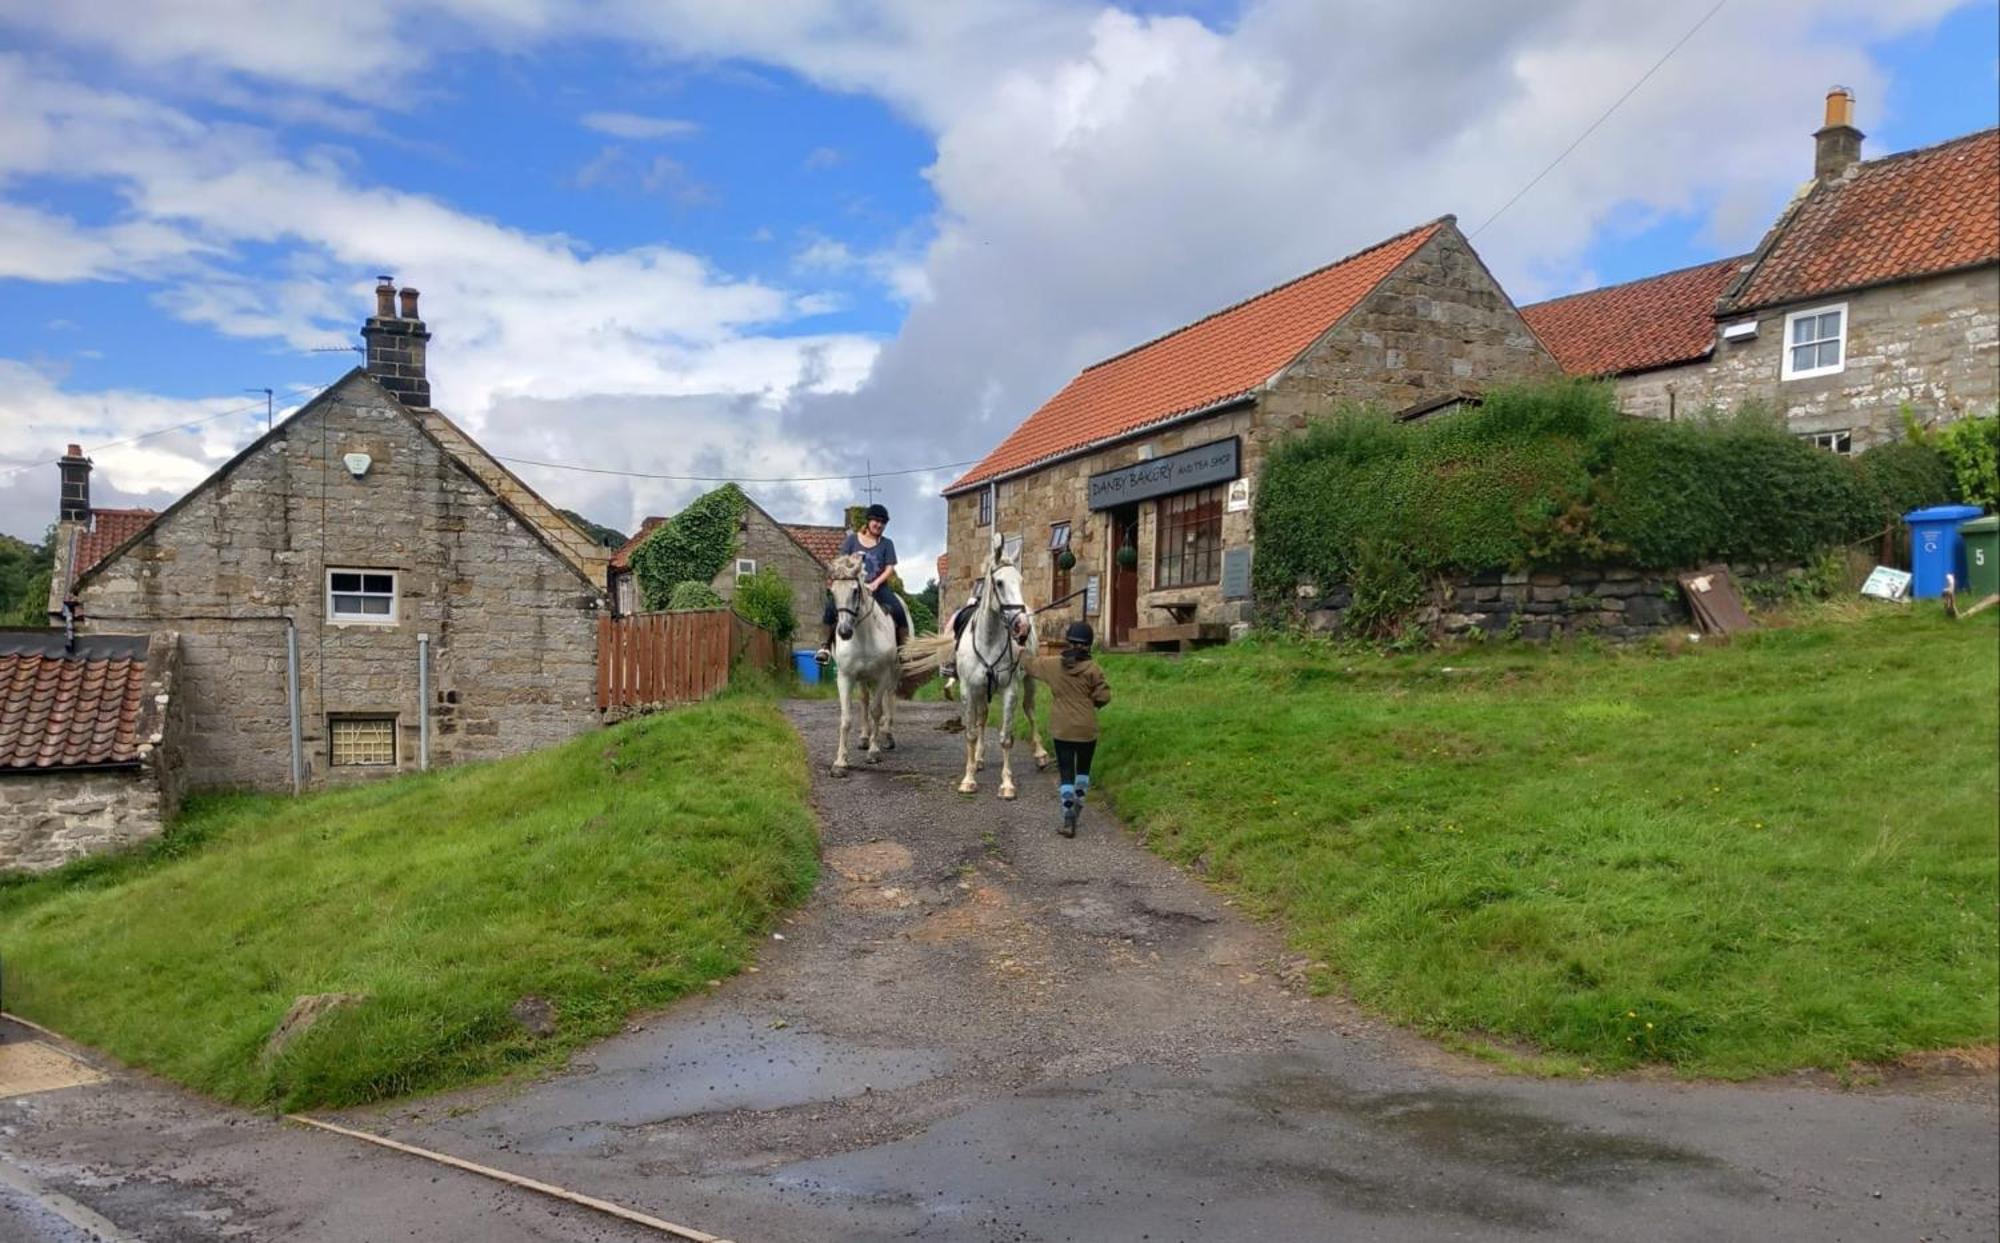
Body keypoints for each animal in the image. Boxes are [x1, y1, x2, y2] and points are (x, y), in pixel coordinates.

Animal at [828, 559, 900, 779]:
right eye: (832, 592)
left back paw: (887, 736)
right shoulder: (845, 677)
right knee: (864, 700)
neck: (864, 636)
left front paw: (874, 752)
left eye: (855, 591)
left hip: (892, 674)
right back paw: (864, 737)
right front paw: (840, 762)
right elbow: (846, 718)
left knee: (888, 699)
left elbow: (877, 711)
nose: (844, 632)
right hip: (862, 678)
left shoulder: (882, 676)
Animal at [896, 531, 1040, 803]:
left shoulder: (1010, 690)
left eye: (1021, 581)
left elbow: (1006, 738)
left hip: (1028, 681)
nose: (1022, 627)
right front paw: (969, 779)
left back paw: (1041, 754)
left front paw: (1007, 784)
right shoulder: (969, 690)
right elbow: (971, 733)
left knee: (1030, 711)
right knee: (982, 719)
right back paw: (979, 760)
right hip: (982, 692)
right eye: (1000, 583)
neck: (989, 640)